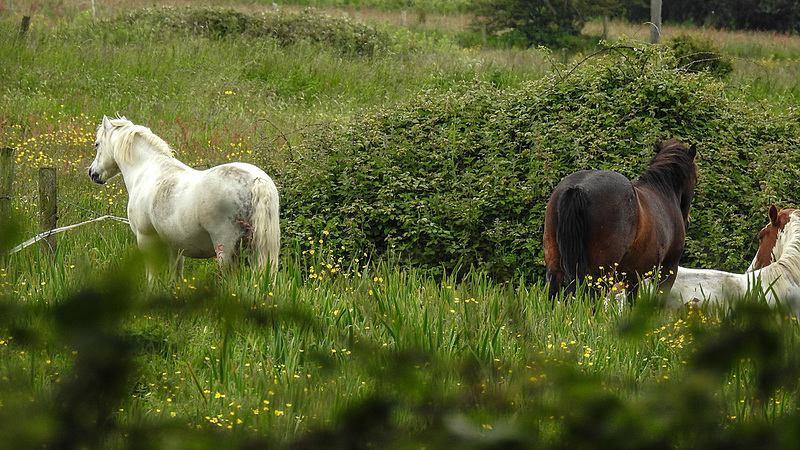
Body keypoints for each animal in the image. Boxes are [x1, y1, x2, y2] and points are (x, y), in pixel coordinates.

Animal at [88, 116, 280, 278]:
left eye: (97, 144)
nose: (92, 173)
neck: (147, 170)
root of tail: (256, 180)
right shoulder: (176, 246)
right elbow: (175, 275)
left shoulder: (145, 238)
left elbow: (152, 275)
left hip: (226, 250)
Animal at [544, 141, 692, 302]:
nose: (688, 221)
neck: (663, 192)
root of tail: (577, 188)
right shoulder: (668, 268)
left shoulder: (632, 276)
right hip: (601, 273)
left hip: (555, 265)